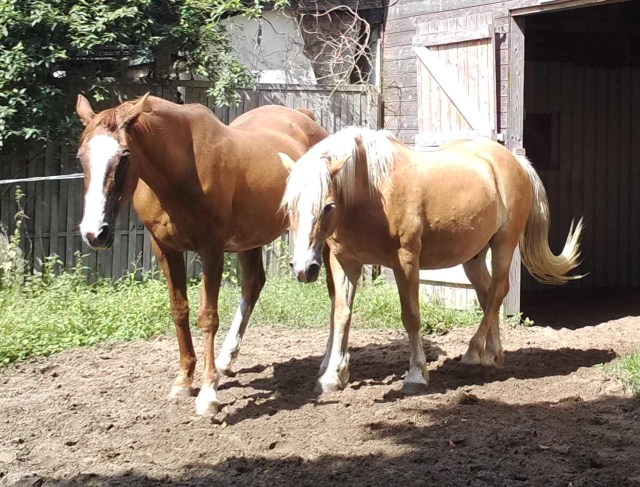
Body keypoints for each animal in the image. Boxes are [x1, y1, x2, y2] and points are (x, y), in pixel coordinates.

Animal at [75, 94, 328, 414]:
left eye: (124, 156)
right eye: (80, 156)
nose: (95, 233)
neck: (181, 170)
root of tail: (305, 117)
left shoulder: (211, 249)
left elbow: (208, 316)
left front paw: (208, 393)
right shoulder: (165, 248)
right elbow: (179, 310)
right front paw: (184, 380)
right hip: (249, 239)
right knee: (254, 283)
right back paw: (226, 359)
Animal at [279, 127, 583, 393]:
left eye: (327, 205)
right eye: (288, 205)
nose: (304, 268)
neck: (373, 192)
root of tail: (515, 161)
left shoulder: (405, 260)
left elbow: (411, 316)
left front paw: (416, 376)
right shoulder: (344, 262)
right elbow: (341, 315)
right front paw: (332, 377)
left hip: (503, 245)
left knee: (498, 291)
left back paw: (472, 353)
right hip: (473, 256)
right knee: (487, 295)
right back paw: (492, 355)